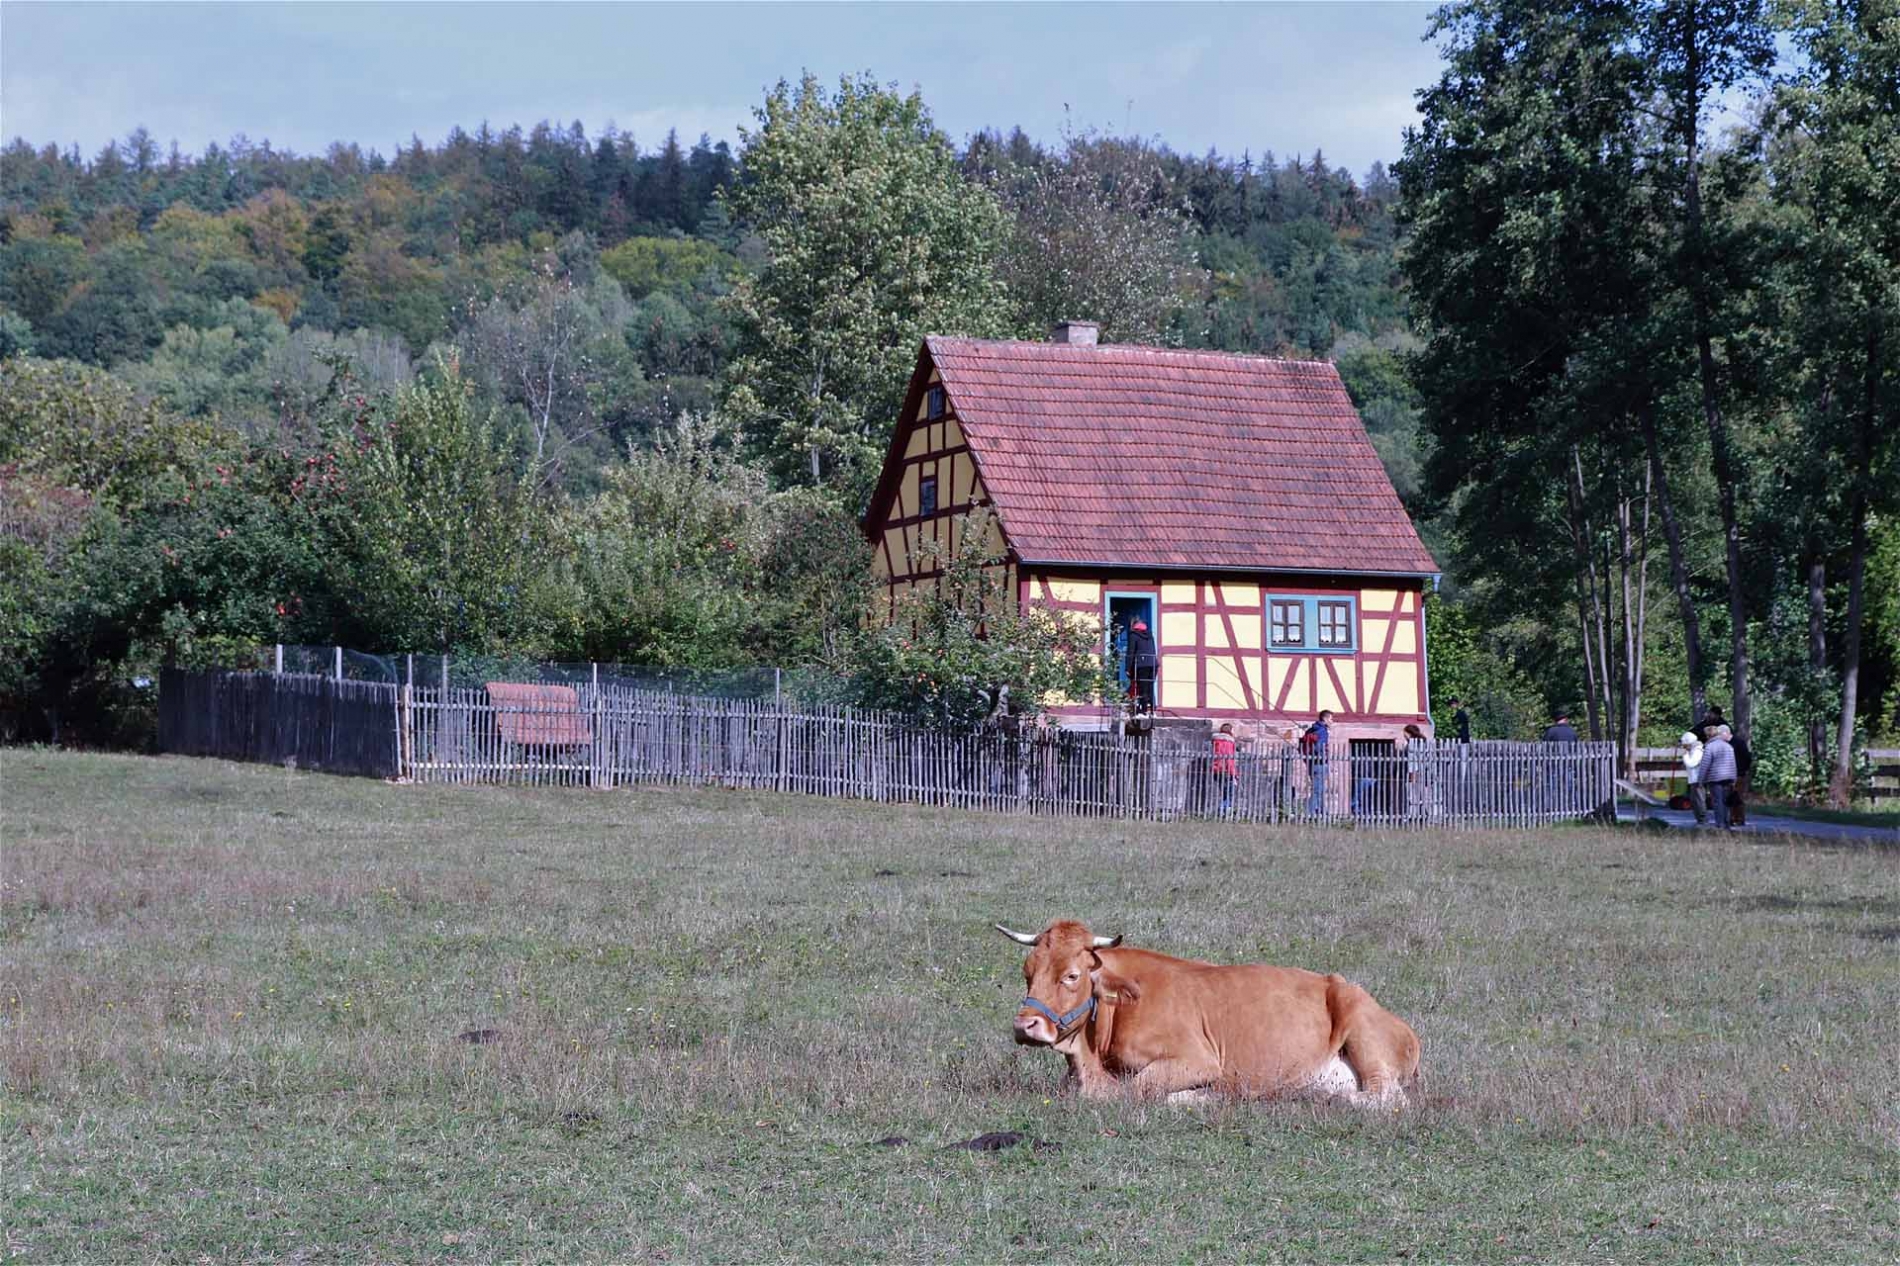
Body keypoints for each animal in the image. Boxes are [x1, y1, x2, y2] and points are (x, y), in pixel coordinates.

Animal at [1003, 912, 1421, 1102]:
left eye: (1071, 976)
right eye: (1027, 972)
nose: (1025, 1025)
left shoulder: (1198, 1060)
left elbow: (1140, 1088)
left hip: (1364, 1035)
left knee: (1384, 1098)